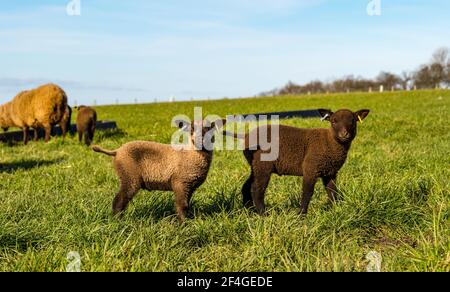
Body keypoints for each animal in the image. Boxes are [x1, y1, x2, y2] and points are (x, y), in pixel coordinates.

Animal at [92, 117, 225, 220]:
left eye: (209, 128)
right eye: (191, 128)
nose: (199, 140)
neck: (190, 153)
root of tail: (117, 151)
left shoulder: (190, 186)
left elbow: (187, 205)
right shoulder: (179, 182)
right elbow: (181, 205)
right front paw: (184, 223)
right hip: (129, 176)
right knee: (119, 200)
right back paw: (118, 221)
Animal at [229, 108, 370, 216]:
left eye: (353, 121)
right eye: (334, 121)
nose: (344, 134)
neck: (330, 142)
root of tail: (246, 136)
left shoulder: (330, 172)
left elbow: (332, 192)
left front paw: (335, 210)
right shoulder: (310, 168)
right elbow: (307, 192)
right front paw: (301, 214)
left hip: (255, 165)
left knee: (247, 186)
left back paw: (250, 211)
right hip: (263, 165)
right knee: (257, 189)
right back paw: (263, 214)